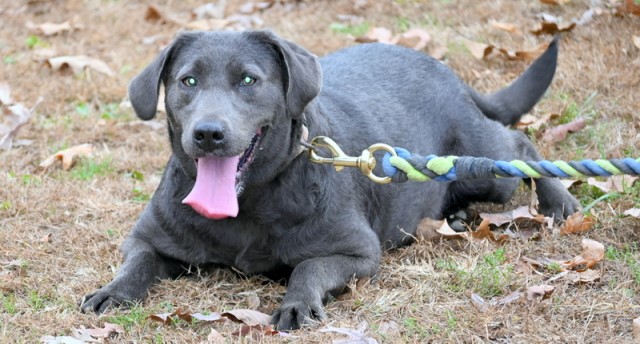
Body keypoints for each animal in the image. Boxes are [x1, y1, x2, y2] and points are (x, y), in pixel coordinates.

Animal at [80, 30, 580, 330]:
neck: (247, 206)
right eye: (187, 81)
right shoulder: (147, 238)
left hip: (480, 165)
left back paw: (557, 200)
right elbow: (136, 263)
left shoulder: (359, 252)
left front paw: (297, 303)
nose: (207, 133)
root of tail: (445, 70)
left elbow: (309, 267)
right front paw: (112, 292)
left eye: (248, 80)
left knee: (519, 145)